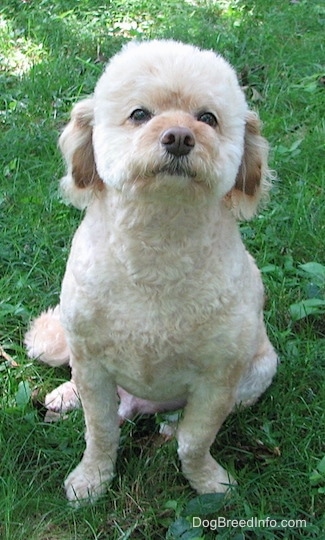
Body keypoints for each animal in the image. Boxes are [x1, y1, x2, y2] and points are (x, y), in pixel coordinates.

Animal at [24, 39, 276, 502]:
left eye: (208, 118)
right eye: (140, 114)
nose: (178, 137)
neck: (157, 245)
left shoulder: (218, 381)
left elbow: (194, 442)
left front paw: (208, 481)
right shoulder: (92, 365)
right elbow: (100, 432)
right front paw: (92, 479)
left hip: (259, 372)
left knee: (178, 424)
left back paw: (167, 426)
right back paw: (66, 396)